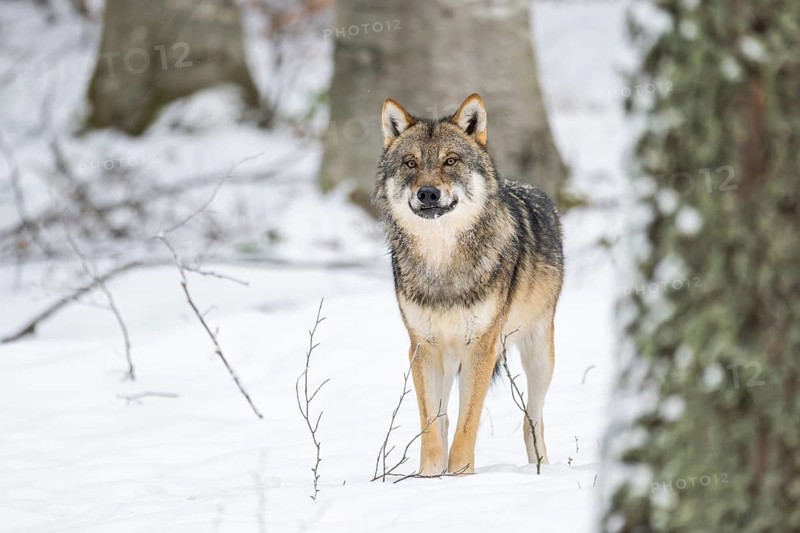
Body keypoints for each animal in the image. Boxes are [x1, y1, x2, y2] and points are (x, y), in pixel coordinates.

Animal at [372, 94, 564, 475]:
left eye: (450, 160)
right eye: (411, 163)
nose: (428, 194)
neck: (442, 265)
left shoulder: (482, 347)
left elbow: (467, 426)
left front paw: (461, 478)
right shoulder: (423, 348)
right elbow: (432, 429)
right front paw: (430, 478)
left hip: (539, 355)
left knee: (532, 419)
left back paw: (540, 469)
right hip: (449, 360)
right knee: (445, 418)